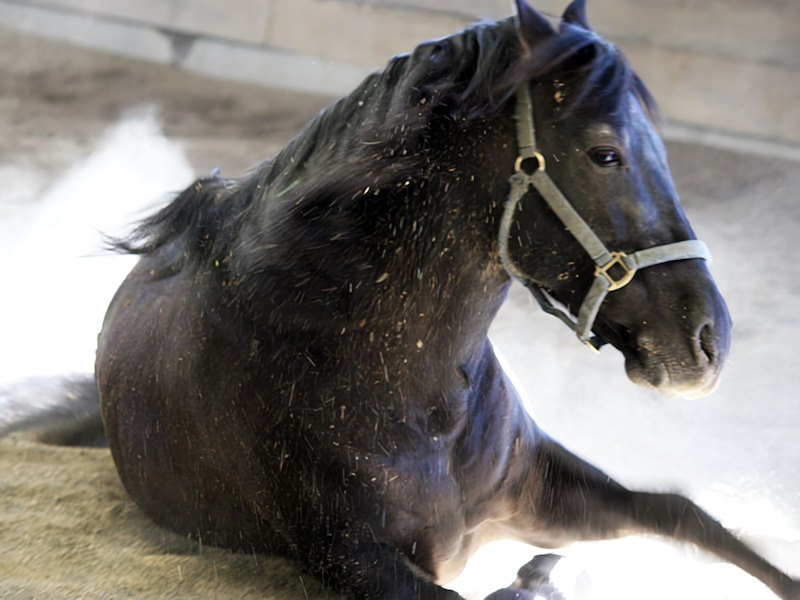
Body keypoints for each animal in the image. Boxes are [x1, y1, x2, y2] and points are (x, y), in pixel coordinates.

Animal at [3, 1, 796, 600]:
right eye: (606, 153)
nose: (708, 340)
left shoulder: (536, 488)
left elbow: (681, 513)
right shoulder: (363, 560)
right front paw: (542, 575)